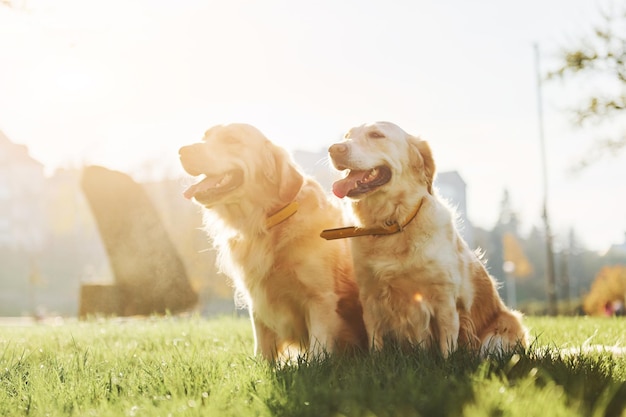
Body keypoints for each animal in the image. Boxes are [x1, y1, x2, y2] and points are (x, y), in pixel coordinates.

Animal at [177, 122, 366, 360]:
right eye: (205, 137)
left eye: (231, 140)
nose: (182, 151)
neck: (267, 223)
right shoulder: (257, 298)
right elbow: (262, 347)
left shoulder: (321, 298)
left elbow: (318, 350)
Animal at [322, 120, 528, 354]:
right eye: (347, 136)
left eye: (376, 135)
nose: (334, 149)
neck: (393, 225)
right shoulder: (370, 298)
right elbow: (376, 345)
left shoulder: (444, 300)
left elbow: (447, 348)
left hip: (501, 330)